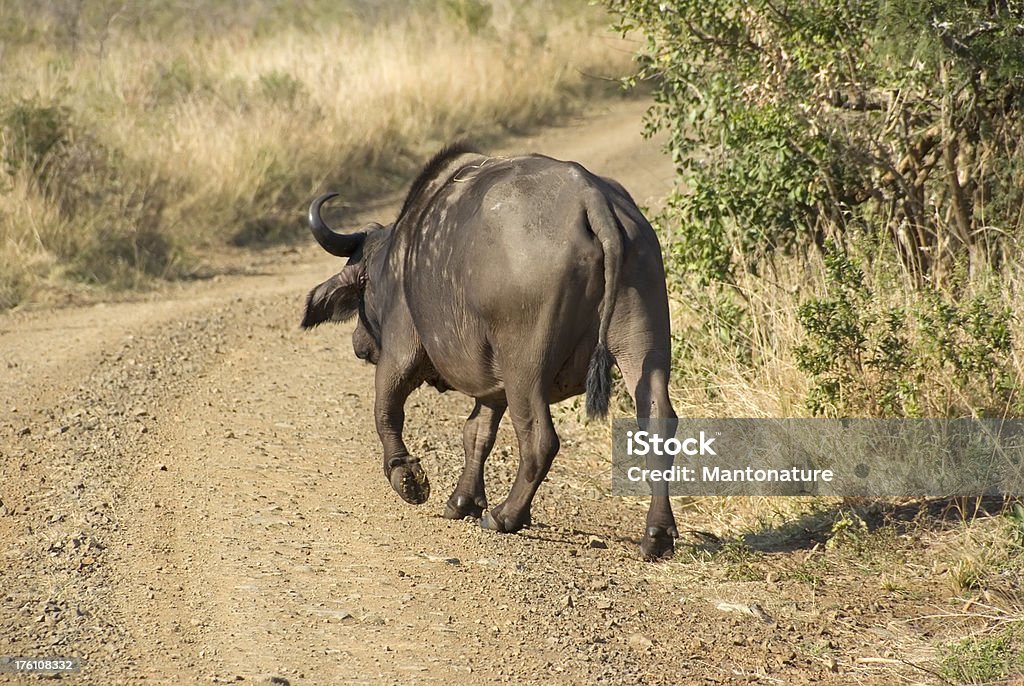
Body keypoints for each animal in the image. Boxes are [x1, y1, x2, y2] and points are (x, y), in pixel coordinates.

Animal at [299, 143, 679, 556]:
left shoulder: (401, 353)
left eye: (362, 284)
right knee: (659, 423)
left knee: (540, 439)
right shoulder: (490, 387)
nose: (359, 344)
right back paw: (657, 534)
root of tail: (591, 199)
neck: (402, 253)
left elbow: (386, 411)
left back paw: (505, 515)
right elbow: (476, 434)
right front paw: (462, 501)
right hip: (642, 341)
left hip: (524, 368)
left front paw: (409, 478)